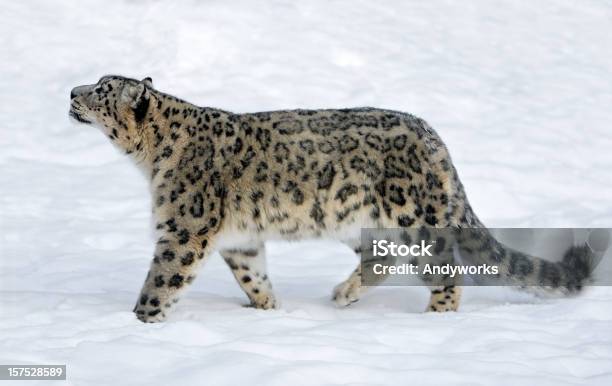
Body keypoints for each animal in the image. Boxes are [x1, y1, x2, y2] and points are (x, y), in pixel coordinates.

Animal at [69, 75, 596, 322]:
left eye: (101, 89)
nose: (72, 91)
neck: (150, 159)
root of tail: (434, 139)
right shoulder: (239, 240)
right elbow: (252, 274)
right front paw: (267, 309)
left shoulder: (184, 228)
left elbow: (161, 281)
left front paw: (138, 323)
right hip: (355, 218)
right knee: (381, 258)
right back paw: (343, 295)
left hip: (414, 217)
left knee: (446, 267)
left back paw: (436, 318)